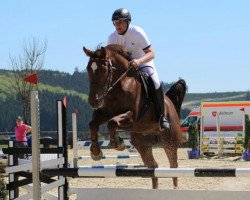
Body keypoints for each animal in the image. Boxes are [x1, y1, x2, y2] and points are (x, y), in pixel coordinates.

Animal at [83, 44, 187, 189]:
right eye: (88, 69)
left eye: (103, 70)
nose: (93, 101)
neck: (119, 86)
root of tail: (170, 103)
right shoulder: (104, 113)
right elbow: (93, 124)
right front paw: (96, 152)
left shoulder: (132, 117)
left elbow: (112, 123)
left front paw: (118, 143)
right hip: (142, 144)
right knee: (153, 166)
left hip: (169, 141)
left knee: (174, 166)